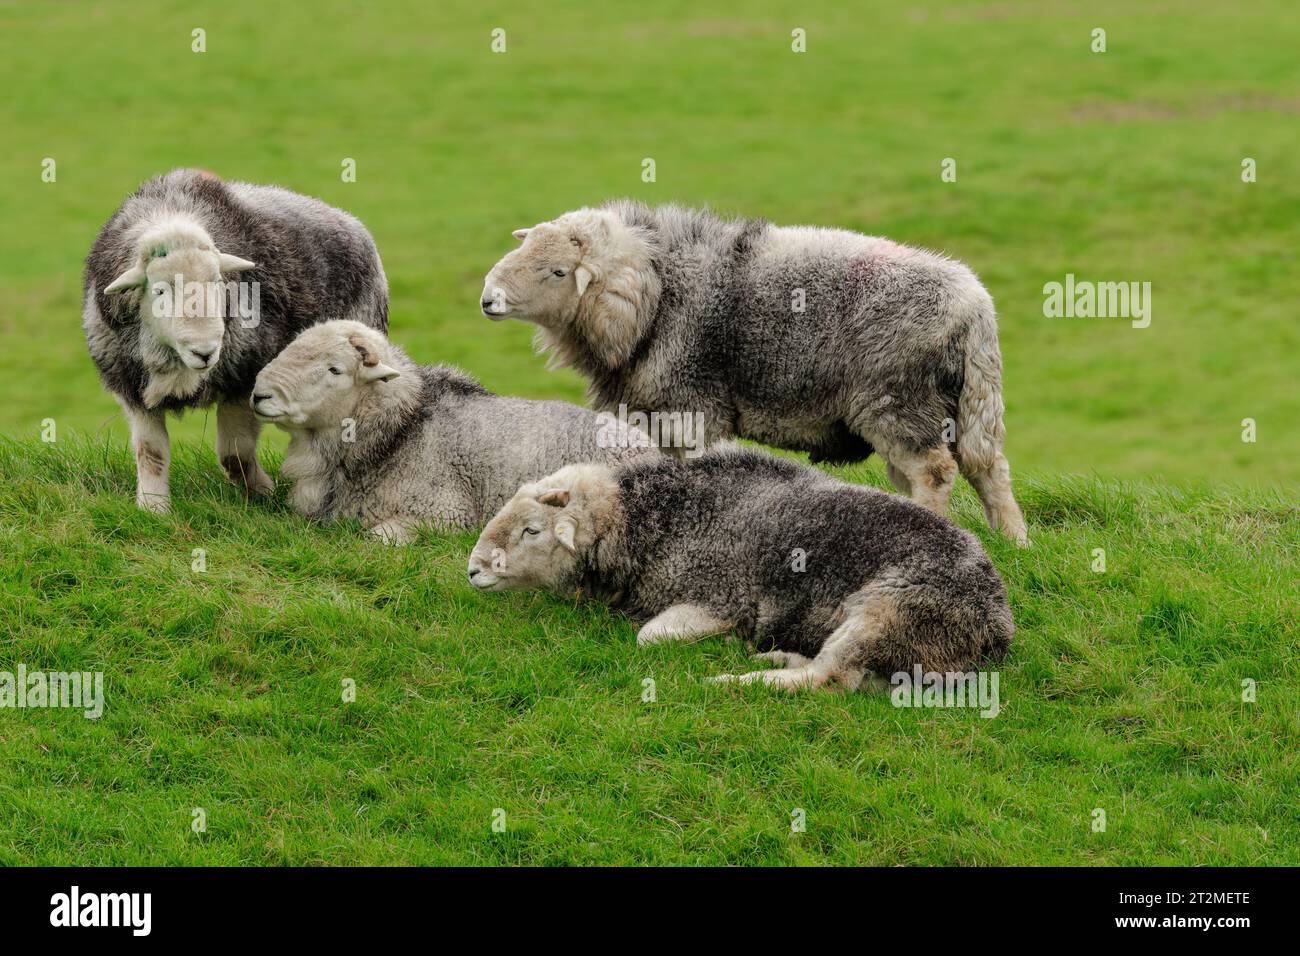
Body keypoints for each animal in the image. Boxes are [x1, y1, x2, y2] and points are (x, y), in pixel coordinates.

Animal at [83, 171, 387, 515]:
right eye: (159, 290)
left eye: (217, 282)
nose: (205, 352)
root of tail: (347, 219)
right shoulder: (131, 386)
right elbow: (151, 452)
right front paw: (153, 507)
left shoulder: (243, 377)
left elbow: (235, 452)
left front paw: (261, 492)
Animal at [467, 444, 1013, 691]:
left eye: (531, 530)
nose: (473, 570)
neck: (651, 518)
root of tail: (997, 627)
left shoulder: (719, 596)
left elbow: (649, 638)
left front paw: (724, 640)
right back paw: (781, 656)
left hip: (890, 610)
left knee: (829, 681)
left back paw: (738, 679)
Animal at [483, 200, 1029, 546]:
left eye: (558, 271)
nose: (488, 300)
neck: (656, 294)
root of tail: (976, 307)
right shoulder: (662, 415)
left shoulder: (695, 406)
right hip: (968, 403)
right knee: (988, 466)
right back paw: (1014, 540)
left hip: (900, 402)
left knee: (935, 472)